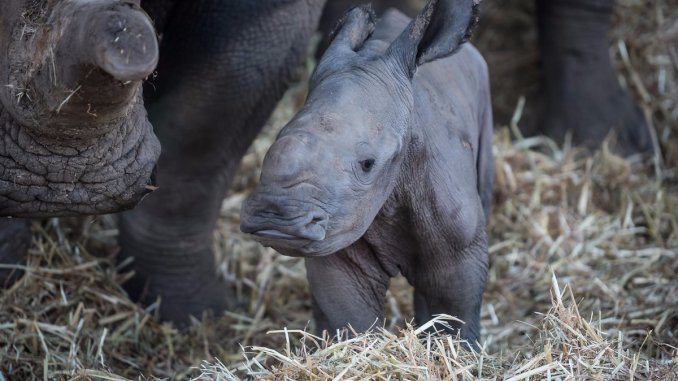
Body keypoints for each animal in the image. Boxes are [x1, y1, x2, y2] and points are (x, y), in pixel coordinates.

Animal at [243, 0, 494, 344]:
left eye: (367, 164)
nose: (275, 219)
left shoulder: (462, 247)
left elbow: (454, 316)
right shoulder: (339, 238)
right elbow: (352, 318)